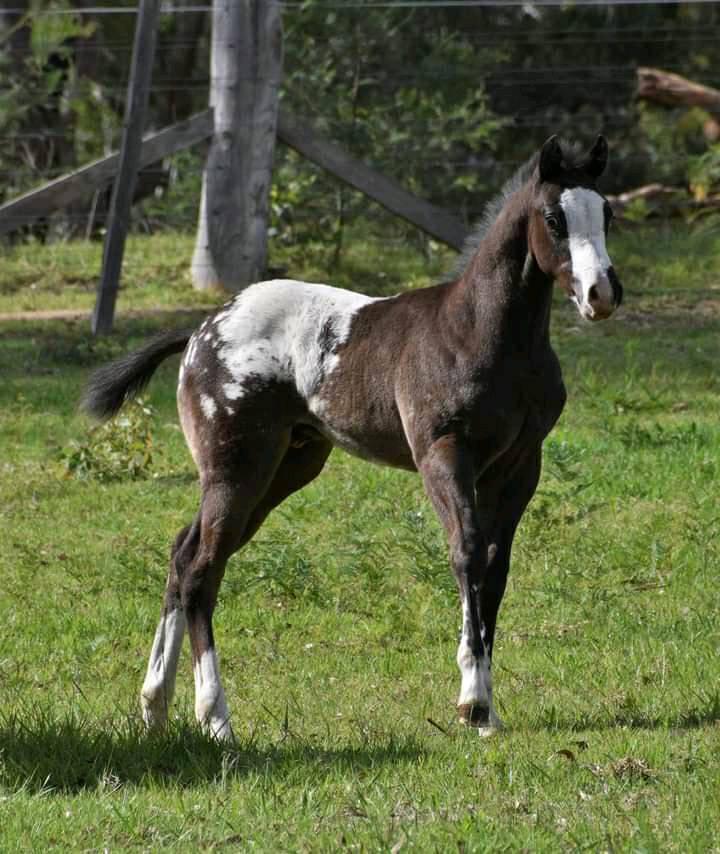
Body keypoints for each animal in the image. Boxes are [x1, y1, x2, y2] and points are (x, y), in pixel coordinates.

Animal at [84, 137, 620, 740]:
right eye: (553, 219)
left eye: (607, 213)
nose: (602, 292)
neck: (482, 334)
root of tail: (201, 329)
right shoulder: (442, 455)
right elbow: (466, 554)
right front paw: (473, 703)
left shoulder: (520, 465)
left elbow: (496, 567)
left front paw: (487, 712)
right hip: (237, 467)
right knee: (201, 572)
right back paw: (215, 717)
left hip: (286, 467)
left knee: (182, 554)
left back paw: (155, 705)